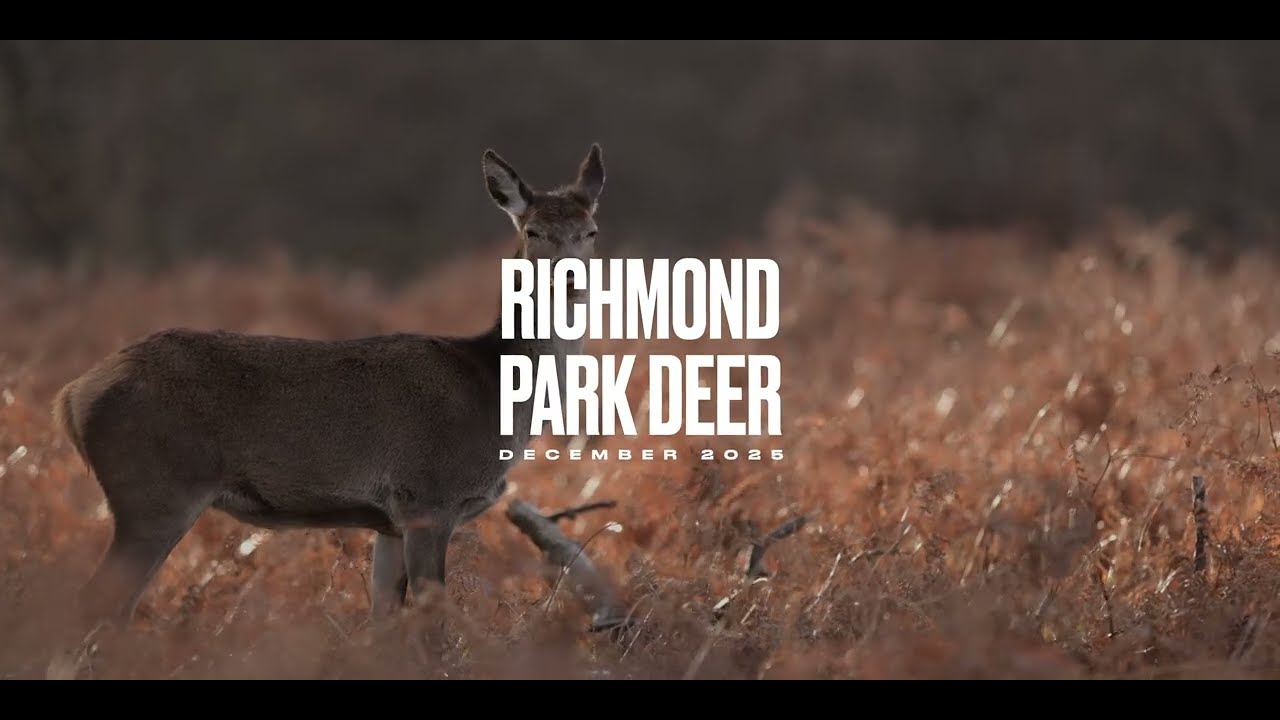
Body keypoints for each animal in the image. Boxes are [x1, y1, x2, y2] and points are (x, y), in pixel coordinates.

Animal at [52, 144, 605, 626]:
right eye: (534, 231)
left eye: (591, 232)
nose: (573, 280)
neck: (494, 389)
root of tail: (71, 396)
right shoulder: (430, 498)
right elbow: (433, 632)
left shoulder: (390, 522)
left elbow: (384, 626)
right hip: (154, 489)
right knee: (89, 607)